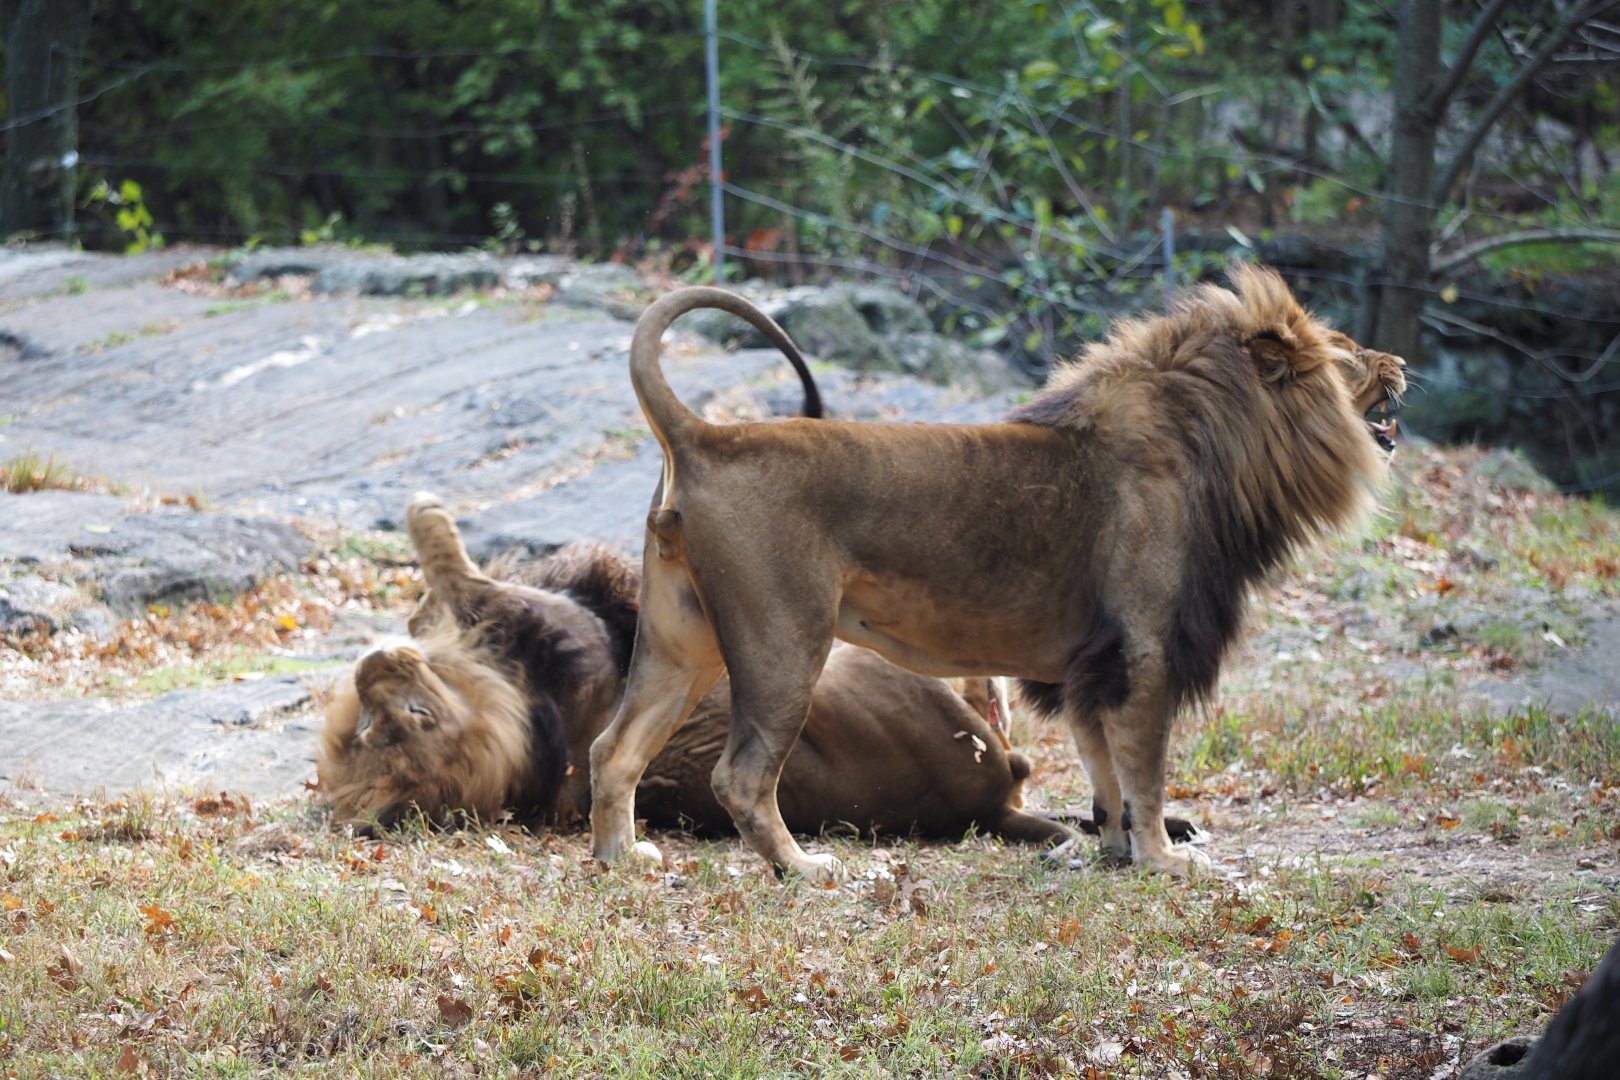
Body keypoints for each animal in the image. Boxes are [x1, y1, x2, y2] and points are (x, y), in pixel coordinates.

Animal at [316, 494, 1077, 846]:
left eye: (376, 720)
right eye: (412, 714)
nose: (375, 661)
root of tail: (989, 805)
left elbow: (440, 590)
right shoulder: (550, 616)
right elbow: (453, 566)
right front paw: (428, 511)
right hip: (839, 658)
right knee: (981, 695)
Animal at [586, 265, 1406, 882]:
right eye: (1347, 351)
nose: (1400, 363)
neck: (1216, 441)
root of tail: (704, 435)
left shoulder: (1090, 666)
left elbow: (1103, 773)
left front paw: (1113, 853)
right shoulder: (1143, 650)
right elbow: (1143, 771)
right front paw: (1164, 862)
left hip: (681, 642)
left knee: (613, 748)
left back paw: (622, 859)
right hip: (783, 640)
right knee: (744, 776)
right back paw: (807, 871)